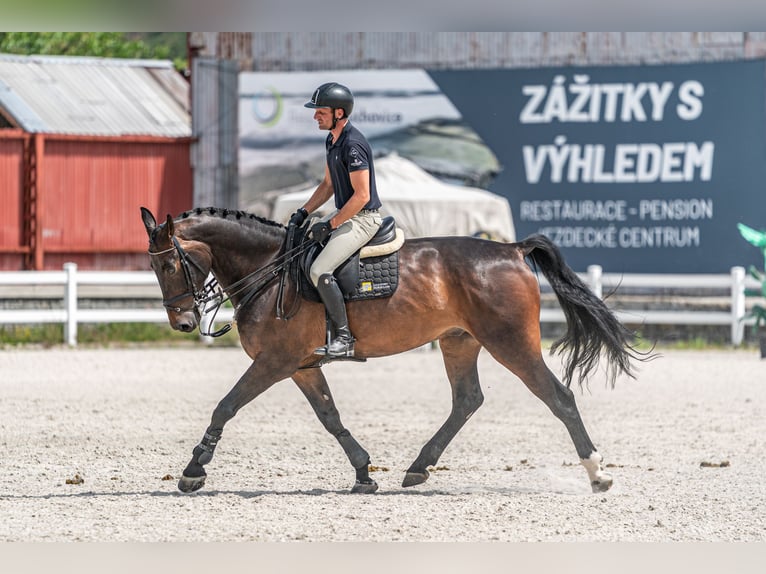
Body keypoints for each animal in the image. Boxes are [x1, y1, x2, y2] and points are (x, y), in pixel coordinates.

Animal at [140, 206, 649, 495]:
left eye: (169, 264)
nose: (183, 322)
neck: (269, 268)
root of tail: (512, 249)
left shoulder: (274, 362)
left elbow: (225, 406)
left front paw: (193, 470)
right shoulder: (301, 365)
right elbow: (330, 417)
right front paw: (364, 473)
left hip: (511, 342)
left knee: (558, 397)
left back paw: (598, 474)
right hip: (459, 341)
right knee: (467, 400)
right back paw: (418, 468)